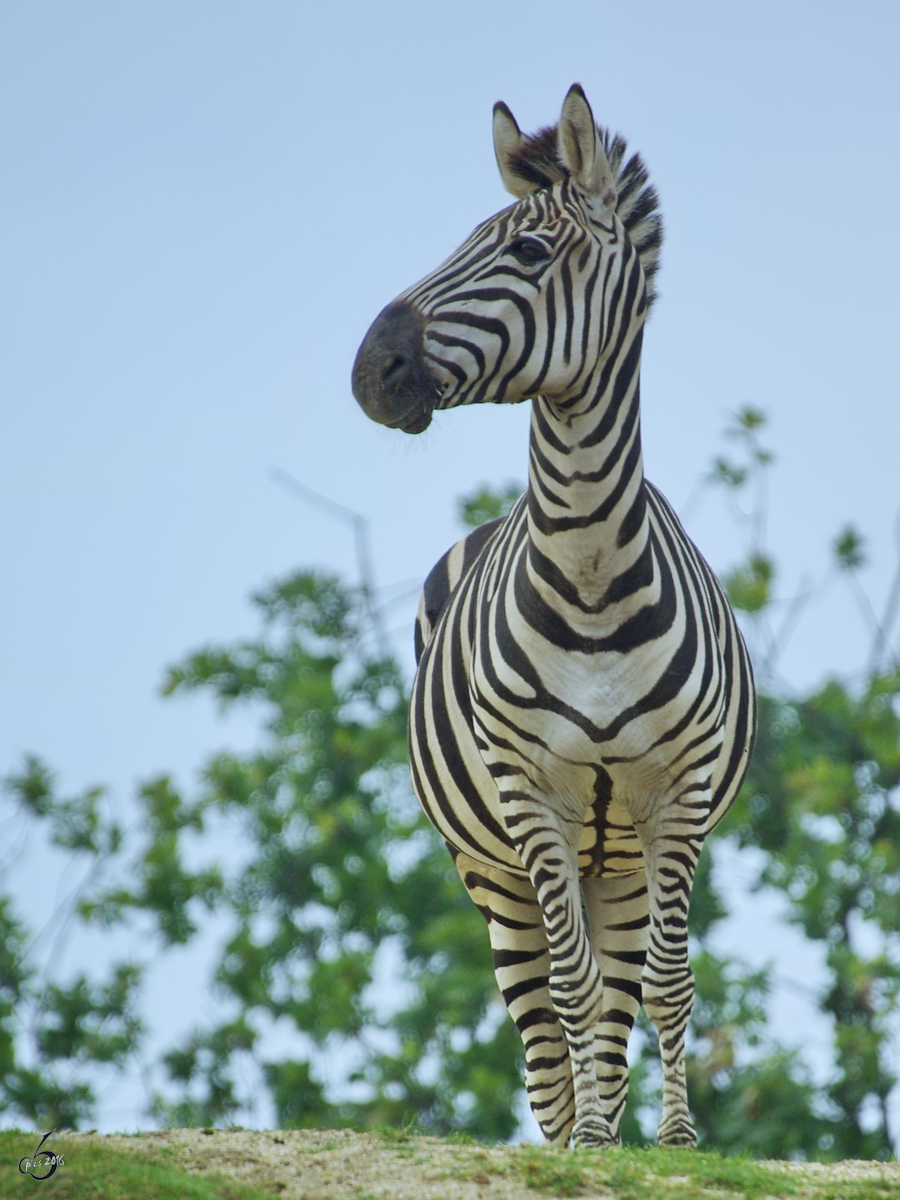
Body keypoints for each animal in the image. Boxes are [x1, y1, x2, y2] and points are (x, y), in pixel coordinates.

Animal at [352, 87, 753, 1152]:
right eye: (464, 238)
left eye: (529, 252)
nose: (369, 370)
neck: (589, 567)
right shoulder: (530, 794)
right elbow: (569, 993)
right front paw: (591, 1151)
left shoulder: (676, 794)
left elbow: (666, 983)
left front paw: (677, 1148)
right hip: (493, 868)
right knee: (540, 1021)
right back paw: (573, 1136)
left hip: (616, 858)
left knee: (619, 999)